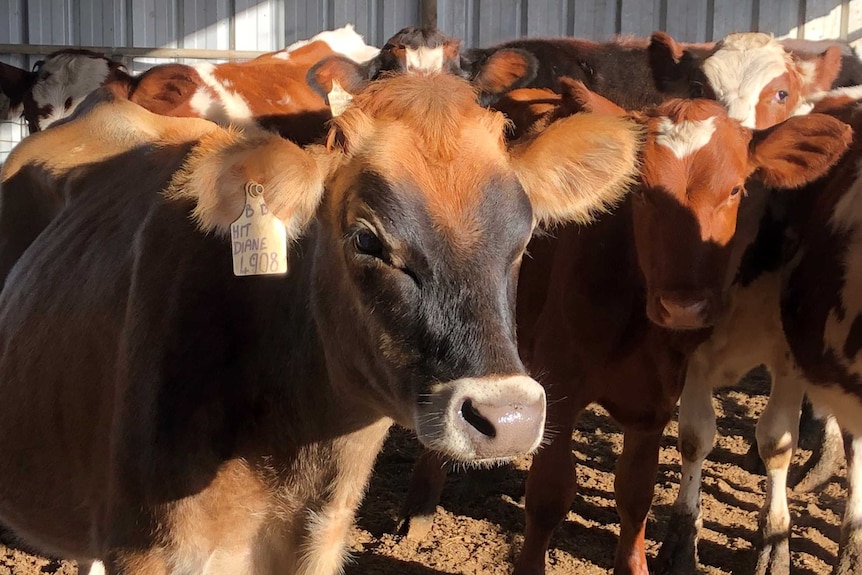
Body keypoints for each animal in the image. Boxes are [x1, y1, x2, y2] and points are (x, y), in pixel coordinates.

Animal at [402, 81, 852, 575]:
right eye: (640, 192)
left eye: (737, 189)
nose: (683, 307)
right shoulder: (561, 388)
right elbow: (549, 493)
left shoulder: (655, 404)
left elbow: (635, 493)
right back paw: (420, 504)